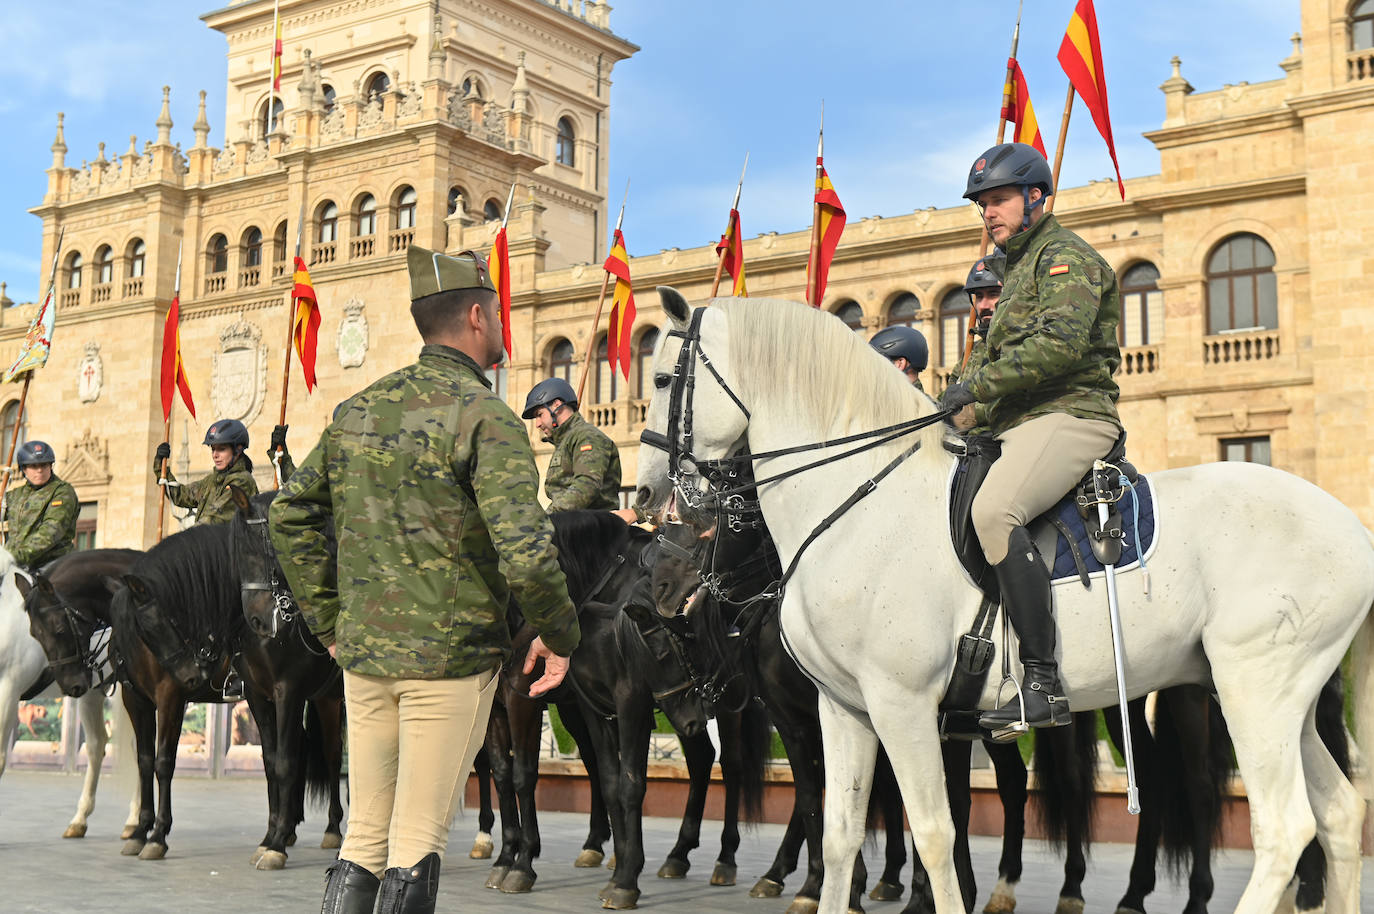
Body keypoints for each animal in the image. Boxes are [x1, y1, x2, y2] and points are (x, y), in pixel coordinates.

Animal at [0, 544, 135, 835]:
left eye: (59, 629)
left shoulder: (8, 691)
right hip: (91, 692)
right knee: (97, 744)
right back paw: (79, 820)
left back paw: (133, 821)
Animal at [114, 519, 343, 863]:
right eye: (144, 629)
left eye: (171, 616)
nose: (191, 676)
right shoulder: (138, 701)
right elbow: (144, 761)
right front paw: (141, 831)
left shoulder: (171, 698)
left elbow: (163, 762)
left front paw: (157, 836)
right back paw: (290, 828)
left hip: (330, 697)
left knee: (332, 756)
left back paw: (332, 829)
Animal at [634, 290, 1374, 912]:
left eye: (663, 380)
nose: (644, 492)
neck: (857, 500)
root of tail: (1351, 527)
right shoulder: (843, 709)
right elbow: (841, 831)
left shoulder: (903, 705)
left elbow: (935, 833)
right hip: (1274, 697)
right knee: (1337, 813)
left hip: (1255, 690)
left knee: (1283, 827)